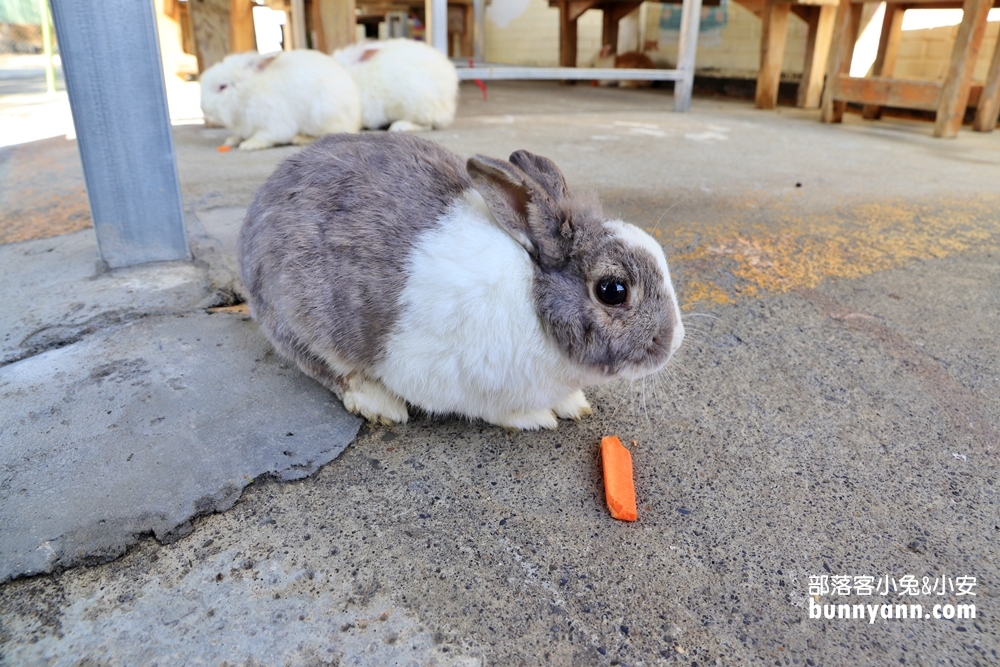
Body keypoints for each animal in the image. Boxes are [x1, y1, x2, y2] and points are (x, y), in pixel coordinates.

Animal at [201, 49, 362, 150]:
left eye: (222, 87)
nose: (204, 108)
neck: (249, 93)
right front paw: (232, 140)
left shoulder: (274, 123)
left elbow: (266, 136)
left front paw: (250, 145)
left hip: (322, 117)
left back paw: (299, 139)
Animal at [238, 133, 684, 430]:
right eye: (612, 291)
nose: (674, 341)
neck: (533, 296)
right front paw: (538, 417)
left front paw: (574, 404)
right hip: (299, 318)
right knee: (323, 366)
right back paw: (379, 404)